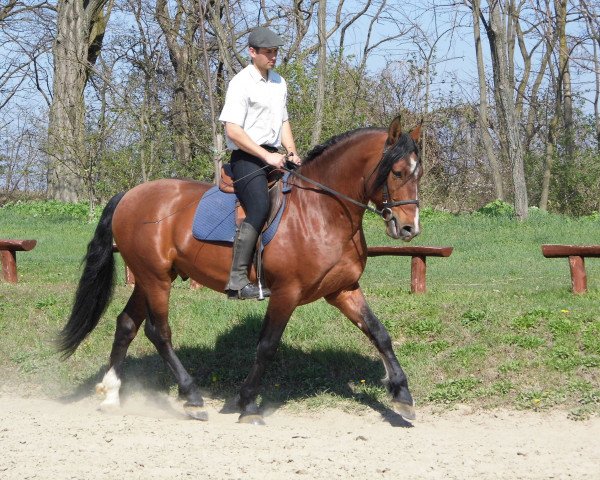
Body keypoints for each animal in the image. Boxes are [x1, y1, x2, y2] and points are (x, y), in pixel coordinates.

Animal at [59, 116, 422, 424]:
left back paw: (111, 394)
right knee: (158, 332)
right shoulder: (286, 292)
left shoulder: (342, 289)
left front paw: (402, 394)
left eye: (418, 174)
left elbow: (379, 334)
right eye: (397, 173)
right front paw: (247, 403)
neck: (321, 210)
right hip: (155, 278)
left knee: (126, 324)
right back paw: (192, 398)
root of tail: (129, 195)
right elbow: (267, 346)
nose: (409, 228)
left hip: (150, 278)